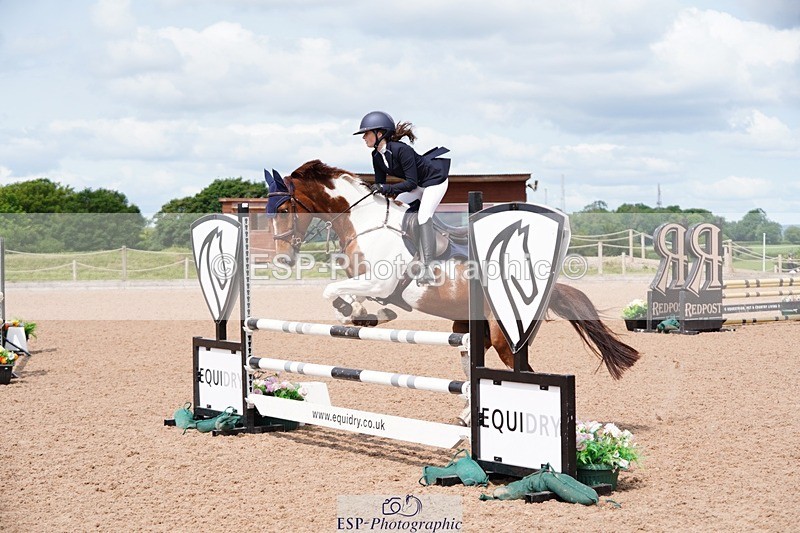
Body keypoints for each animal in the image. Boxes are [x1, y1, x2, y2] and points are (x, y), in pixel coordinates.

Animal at [264, 160, 640, 389]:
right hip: (471, 332)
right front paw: (368, 314)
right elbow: (350, 293)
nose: (282, 259)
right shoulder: (372, 283)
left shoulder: (381, 281)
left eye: (283, 209)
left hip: (504, 339)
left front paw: (354, 313)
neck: (365, 222)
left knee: (525, 374)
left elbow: (332, 291)